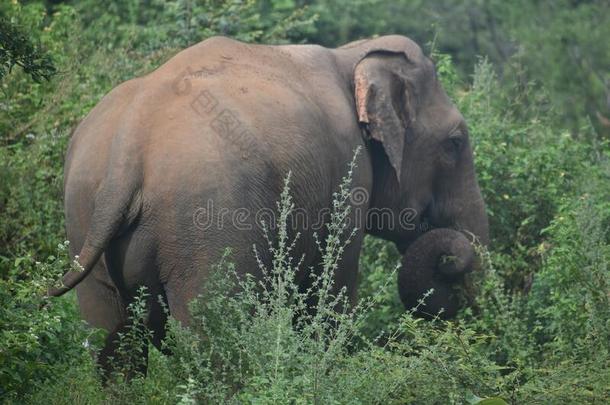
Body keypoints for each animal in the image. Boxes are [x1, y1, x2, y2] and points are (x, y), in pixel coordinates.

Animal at [46, 34, 484, 376]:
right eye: (455, 143)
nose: (450, 262)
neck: (350, 56)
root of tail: (128, 146)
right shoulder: (349, 173)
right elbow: (328, 292)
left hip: (84, 221)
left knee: (109, 338)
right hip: (206, 225)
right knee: (210, 334)